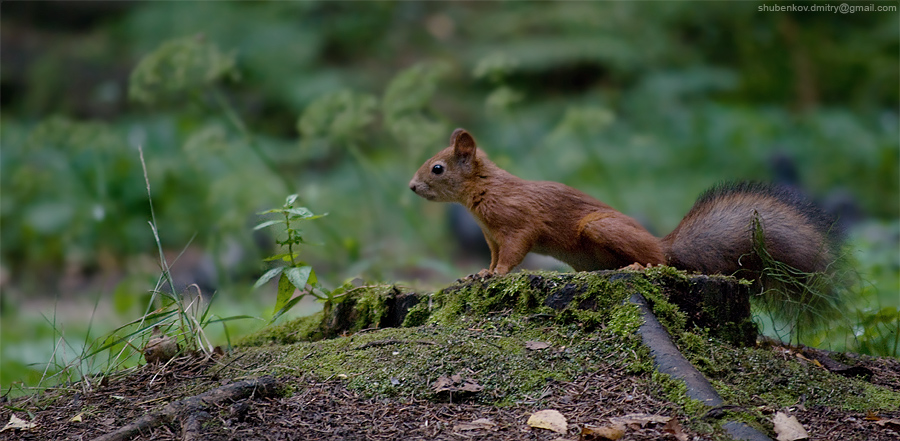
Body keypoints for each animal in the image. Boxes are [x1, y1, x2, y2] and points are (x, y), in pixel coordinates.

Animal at [412, 129, 840, 284]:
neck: (484, 191)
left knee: (659, 261)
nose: (412, 186)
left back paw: (638, 265)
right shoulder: (491, 237)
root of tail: (662, 241)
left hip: (602, 228)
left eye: (437, 168)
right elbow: (493, 255)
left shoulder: (519, 223)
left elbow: (515, 252)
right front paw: (480, 273)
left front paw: (497, 275)